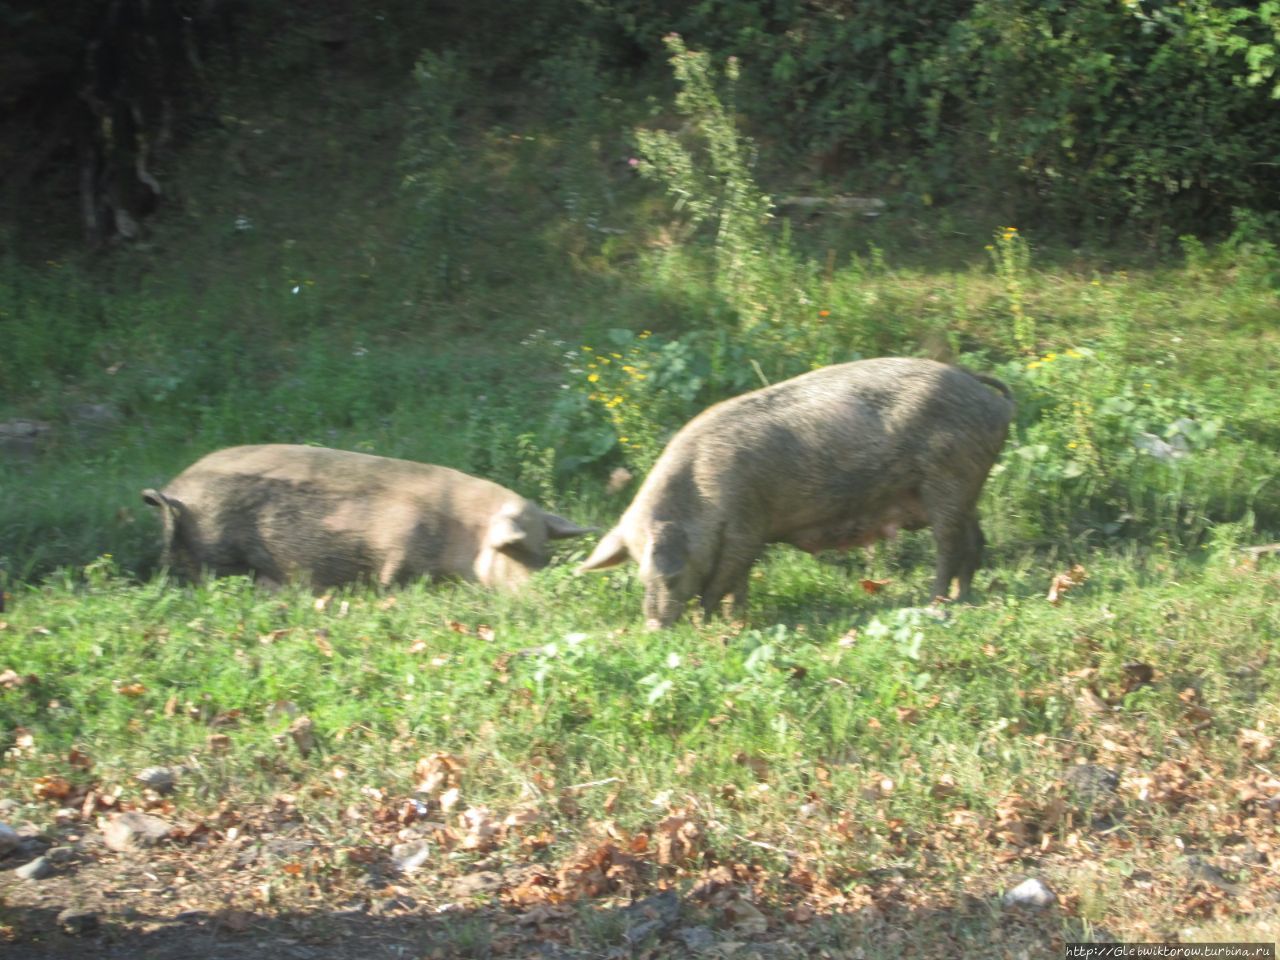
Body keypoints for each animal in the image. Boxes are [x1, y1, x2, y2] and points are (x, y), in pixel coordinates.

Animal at [142, 445, 591, 593]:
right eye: (513, 549)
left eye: (544, 551)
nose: (551, 590)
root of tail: (174, 490)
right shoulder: (399, 550)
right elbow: (391, 580)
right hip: (212, 544)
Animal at [578, 358, 1008, 627]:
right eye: (639, 573)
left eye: (669, 573)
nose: (653, 627)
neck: (701, 497)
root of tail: (981, 388)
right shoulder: (743, 535)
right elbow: (738, 584)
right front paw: (736, 620)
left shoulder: (746, 525)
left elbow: (722, 582)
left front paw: (709, 620)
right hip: (967, 485)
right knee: (976, 539)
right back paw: (963, 596)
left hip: (949, 477)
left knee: (949, 545)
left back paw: (937, 601)